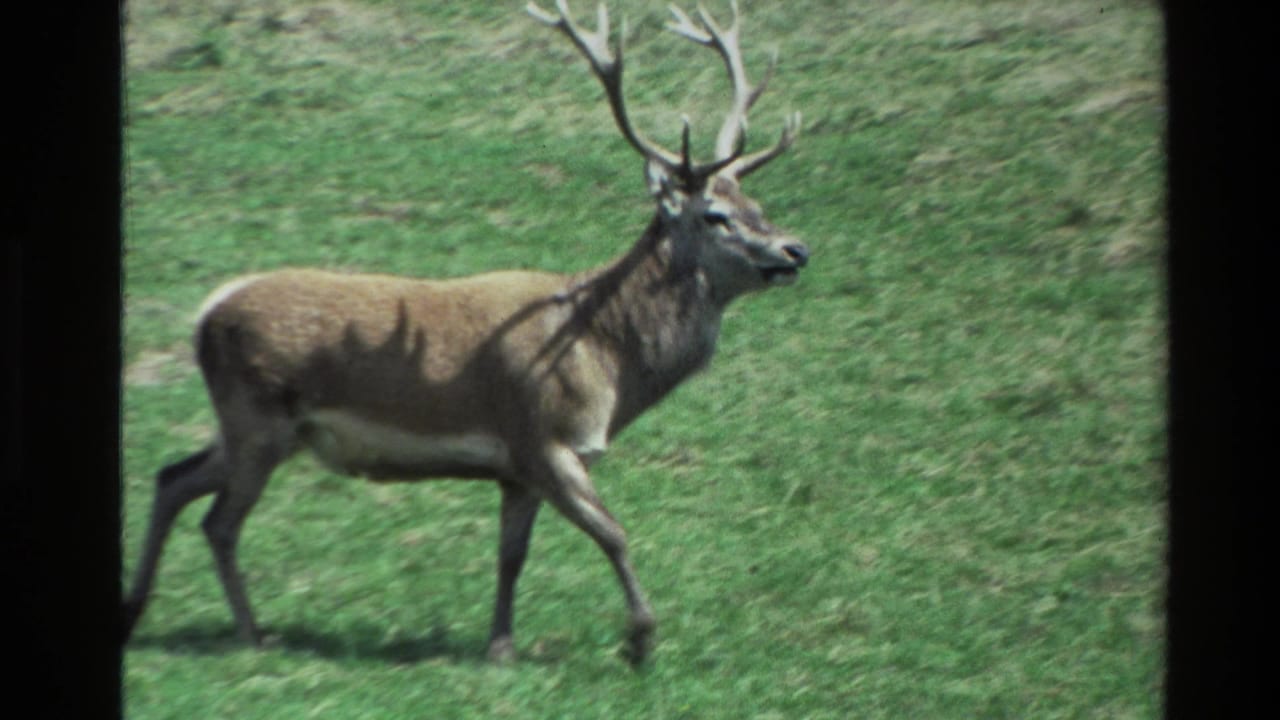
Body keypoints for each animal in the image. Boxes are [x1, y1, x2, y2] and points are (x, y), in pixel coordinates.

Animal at [121, 0, 809, 665]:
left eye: (756, 204)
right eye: (715, 215)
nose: (796, 249)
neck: (606, 362)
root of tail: (207, 313)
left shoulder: (516, 470)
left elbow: (512, 557)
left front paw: (500, 645)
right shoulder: (543, 437)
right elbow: (613, 532)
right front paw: (640, 642)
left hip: (255, 429)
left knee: (172, 477)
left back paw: (136, 611)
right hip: (258, 418)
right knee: (219, 521)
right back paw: (251, 634)